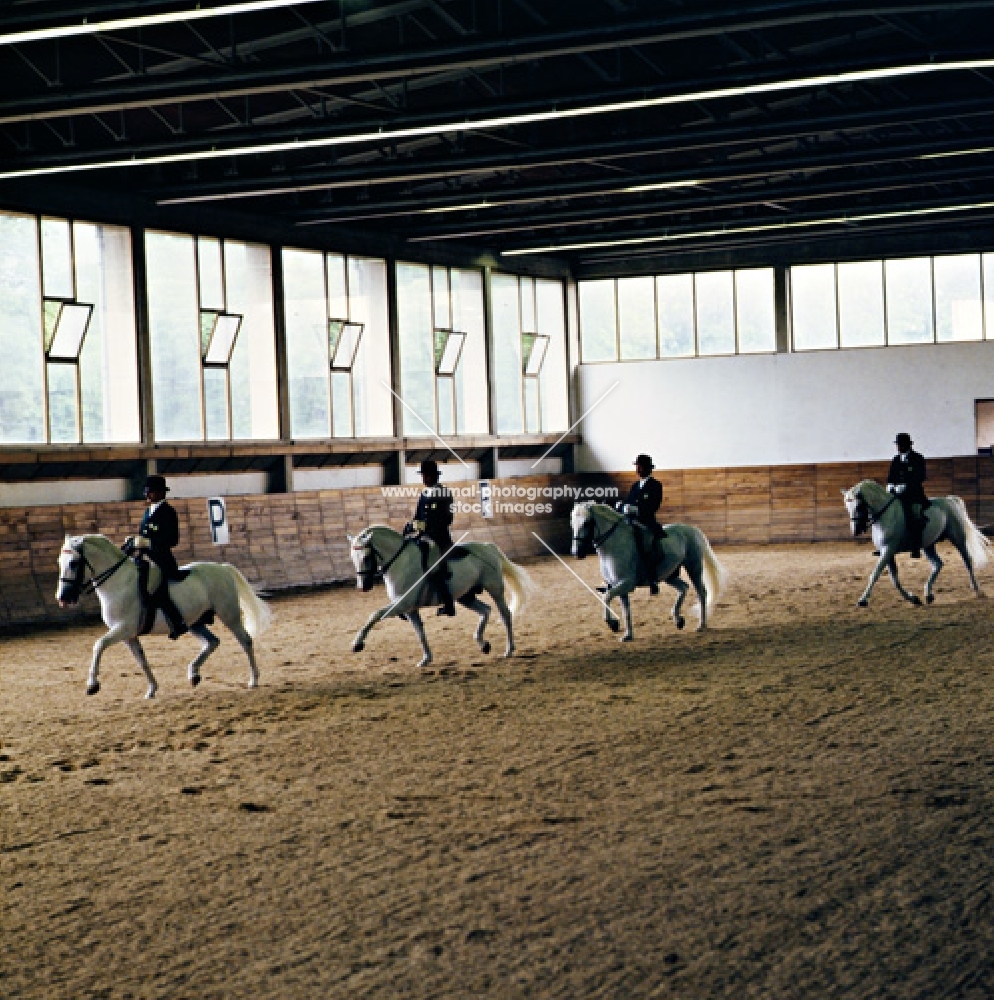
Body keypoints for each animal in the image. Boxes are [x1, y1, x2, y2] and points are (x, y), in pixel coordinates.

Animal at [56, 536, 270, 700]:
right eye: (59, 562)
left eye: (74, 563)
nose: (62, 598)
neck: (119, 583)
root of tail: (223, 568)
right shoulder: (129, 636)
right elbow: (141, 660)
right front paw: (151, 690)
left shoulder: (123, 628)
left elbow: (98, 645)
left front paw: (92, 685)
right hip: (194, 622)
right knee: (212, 642)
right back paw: (194, 674)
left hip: (229, 615)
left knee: (245, 641)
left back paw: (253, 680)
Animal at [350, 528, 532, 668]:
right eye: (353, 558)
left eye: (366, 557)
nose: (363, 587)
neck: (401, 563)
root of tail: (488, 547)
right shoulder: (410, 609)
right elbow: (420, 633)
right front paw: (426, 659)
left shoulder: (402, 604)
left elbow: (374, 614)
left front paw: (357, 644)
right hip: (464, 596)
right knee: (485, 610)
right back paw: (483, 644)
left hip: (495, 589)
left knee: (505, 614)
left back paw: (509, 650)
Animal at [568, 500, 724, 640]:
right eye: (572, 524)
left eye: (587, 523)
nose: (576, 553)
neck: (613, 547)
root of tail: (692, 529)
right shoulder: (619, 586)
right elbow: (625, 610)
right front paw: (628, 635)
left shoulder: (626, 583)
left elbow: (606, 596)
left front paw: (613, 624)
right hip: (669, 575)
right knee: (684, 587)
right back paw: (678, 620)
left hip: (694, 567)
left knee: (701, 593)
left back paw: (701, 625)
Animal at [840, 478, 988, 604]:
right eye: (847, 506)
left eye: (859, 506)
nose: (855, 531)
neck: (885, 515)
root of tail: (949, 500)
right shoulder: (887, 552)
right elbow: (894, 579)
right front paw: (913, 599)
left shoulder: (888, 550)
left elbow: (875, 574)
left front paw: (863, 600)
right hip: (928, 545)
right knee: (938, 564)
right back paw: (928, 594)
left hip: (958, 539)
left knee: (967, 561)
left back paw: (977, 590)